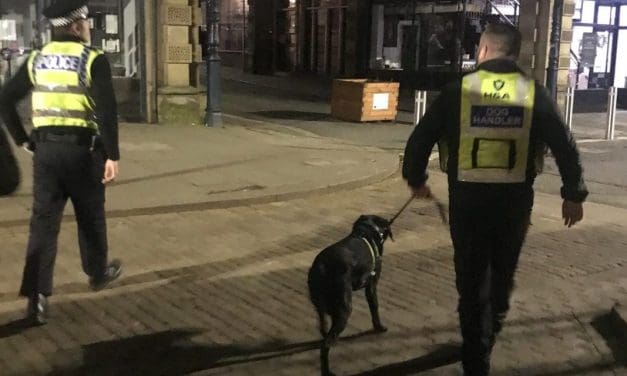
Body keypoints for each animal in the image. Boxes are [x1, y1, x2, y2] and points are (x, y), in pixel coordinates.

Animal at [308, 214, 392, 376]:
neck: (365, 232)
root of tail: (321, 267)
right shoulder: (371, 287)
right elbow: (375, 308)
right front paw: (379, 327)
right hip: (344, 309)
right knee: (325, 345)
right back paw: (327, 371)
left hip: (320, 307)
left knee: (323, 331)